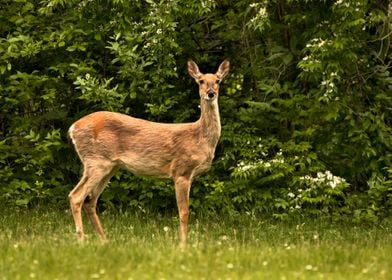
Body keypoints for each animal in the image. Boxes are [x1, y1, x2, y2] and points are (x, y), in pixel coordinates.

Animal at [68, 59, 230, 247]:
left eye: (218, 81)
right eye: (201, 81)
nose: (210, 93)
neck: (199, 138)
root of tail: (73, 128)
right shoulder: (181, 171)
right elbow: (184, 212)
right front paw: (183, 245)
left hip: (109, 166)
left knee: (90, 201)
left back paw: (105, 241)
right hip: (96, 161)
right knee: (76, 196)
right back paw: (82, 241)